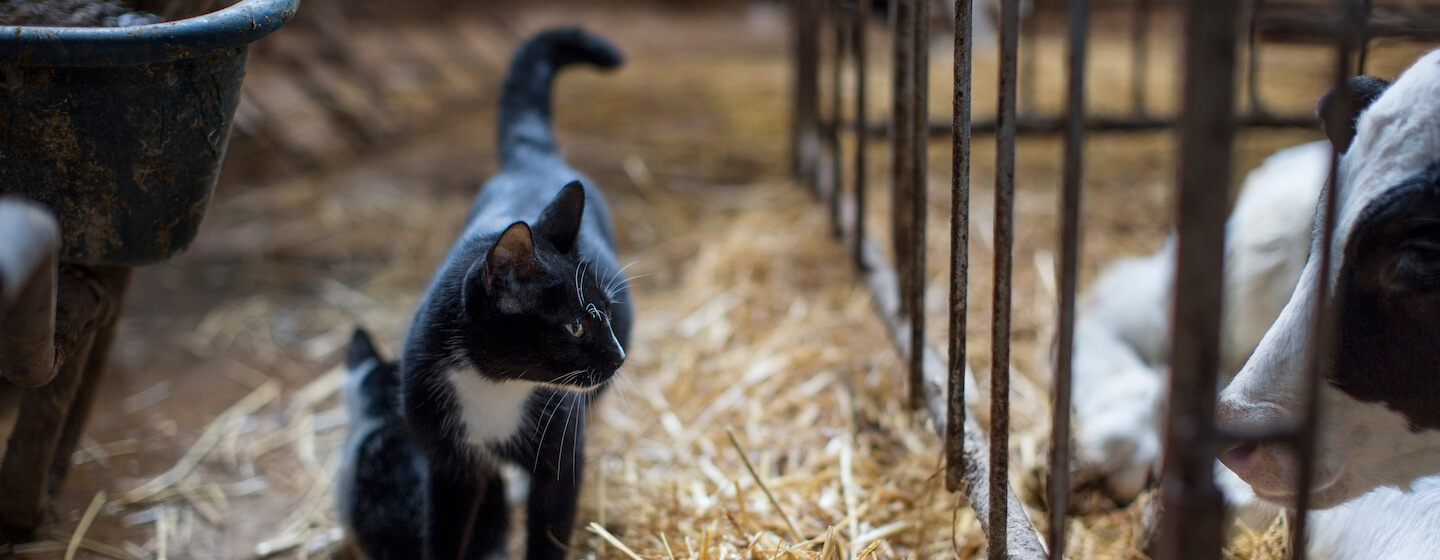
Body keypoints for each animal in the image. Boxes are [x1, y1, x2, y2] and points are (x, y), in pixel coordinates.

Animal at [339, 28, 633, 558]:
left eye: (606, 311)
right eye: (575, 325)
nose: (619, 357)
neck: (497, 387)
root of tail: (530, 160)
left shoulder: (560, 451)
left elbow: (549, 528)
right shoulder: (448, 462)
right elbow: (447, 531)